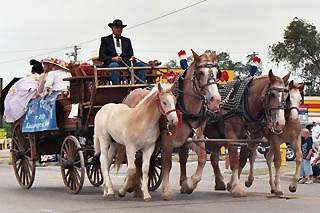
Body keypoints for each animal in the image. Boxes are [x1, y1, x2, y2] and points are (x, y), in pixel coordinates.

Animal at [116, 49, 221, 200]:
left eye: (217, 72)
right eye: (201, 73)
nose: (215, 100)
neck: (184, 108)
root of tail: (130, 93)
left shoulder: (193, 139)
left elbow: (202, 157)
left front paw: (188, 184)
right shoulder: (167, 141)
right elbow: (167, 164)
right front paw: (166, 190)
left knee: (139, 161)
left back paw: (136, 188)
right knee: (134, 160)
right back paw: (130, 186)